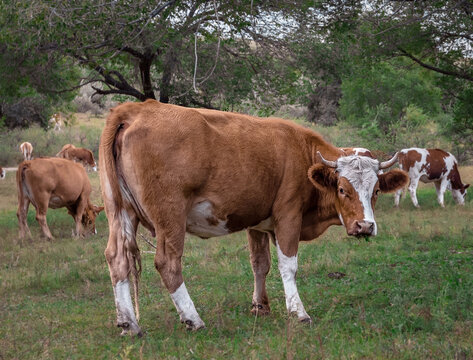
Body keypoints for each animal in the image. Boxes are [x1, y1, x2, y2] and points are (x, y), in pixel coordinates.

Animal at [98, 100, 406, 336]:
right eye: (342, 189)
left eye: (376, 190)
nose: (365, 226)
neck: (302, 152)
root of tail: (136, 108)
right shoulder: (288, 216)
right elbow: (288, 266)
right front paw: (298, 312)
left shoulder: (257, 223)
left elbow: (260, 264)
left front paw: (261, 306)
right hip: (170, 215)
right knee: (167, 262)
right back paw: (193, 319)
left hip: (119, 212)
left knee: (117, 258)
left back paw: (129, 323)